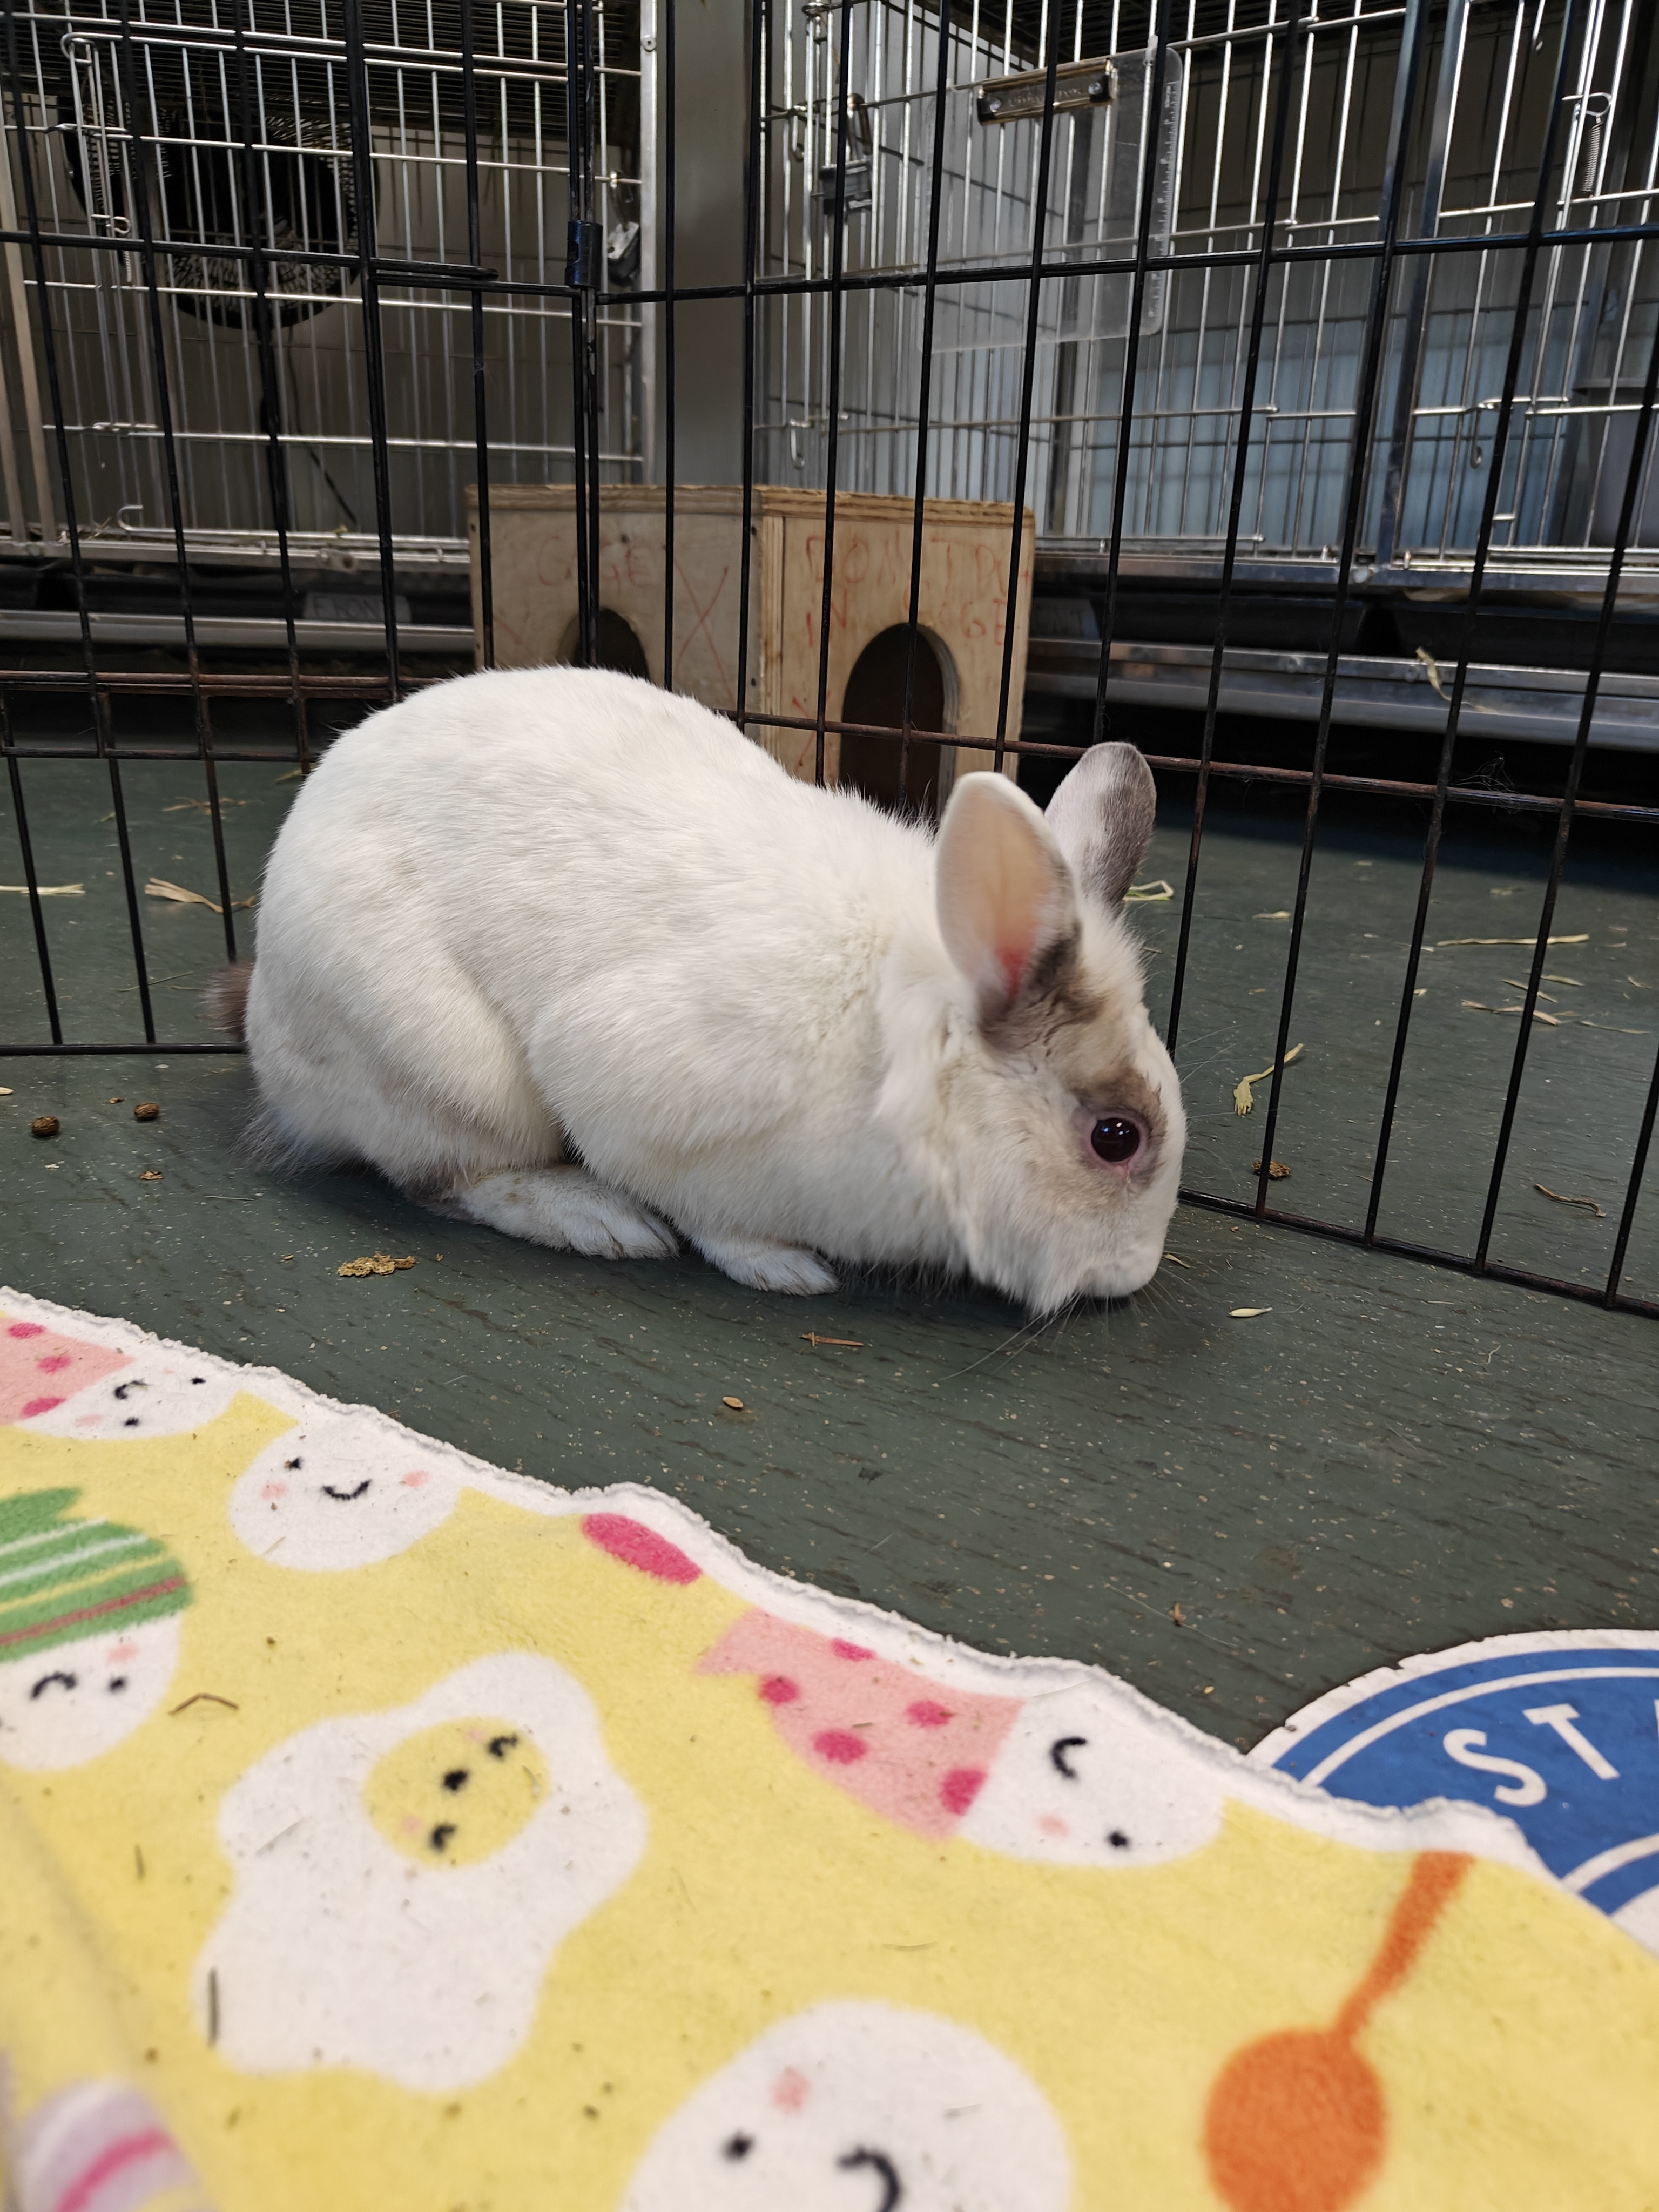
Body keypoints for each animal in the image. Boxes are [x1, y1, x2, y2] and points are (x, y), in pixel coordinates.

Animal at [224, 663, 1185, 1300]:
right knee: (451, 1179)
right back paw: (595, 1220)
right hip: (452, 1077)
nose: (1134, 1272)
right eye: (1117, 1138)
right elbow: (704, 1212)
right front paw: (783, 1268)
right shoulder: (640, 1096)